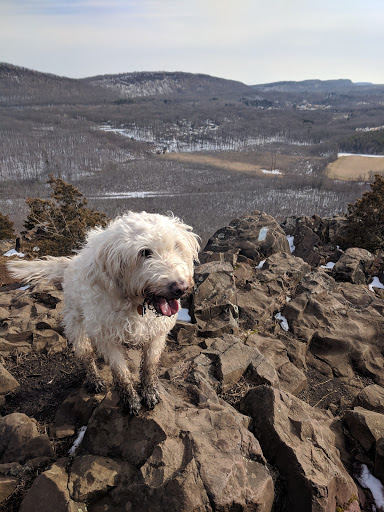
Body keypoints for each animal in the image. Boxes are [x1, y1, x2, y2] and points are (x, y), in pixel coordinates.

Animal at [8, 212, 200, 416]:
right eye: (144, 252)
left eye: (177, 246)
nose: (180, 288)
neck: (135, 302)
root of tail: (71, 262)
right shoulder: (106, 337)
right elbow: (121, 372)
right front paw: (130, 400)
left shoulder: (156, 334)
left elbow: (150, 365)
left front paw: (150, 392)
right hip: (76, 322)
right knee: (85, 353)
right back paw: (94, 379)